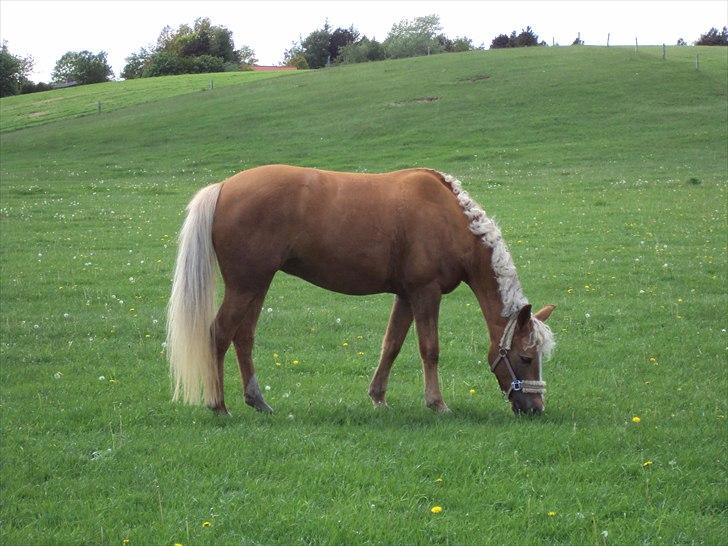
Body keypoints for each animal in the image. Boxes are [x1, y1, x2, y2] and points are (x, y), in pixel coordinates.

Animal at [166, 165, 555, 416]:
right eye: (525, 358)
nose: (536, 408)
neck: (448, 217)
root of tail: (223, 187)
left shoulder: (406, 295)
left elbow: (392, 345)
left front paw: (378, 397)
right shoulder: (425, 293)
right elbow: (429, 349)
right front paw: (437, 403)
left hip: (256, 284)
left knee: (243, 337)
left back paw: (257, 400)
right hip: (246, 285)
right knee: (219, 334)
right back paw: (218, 405)